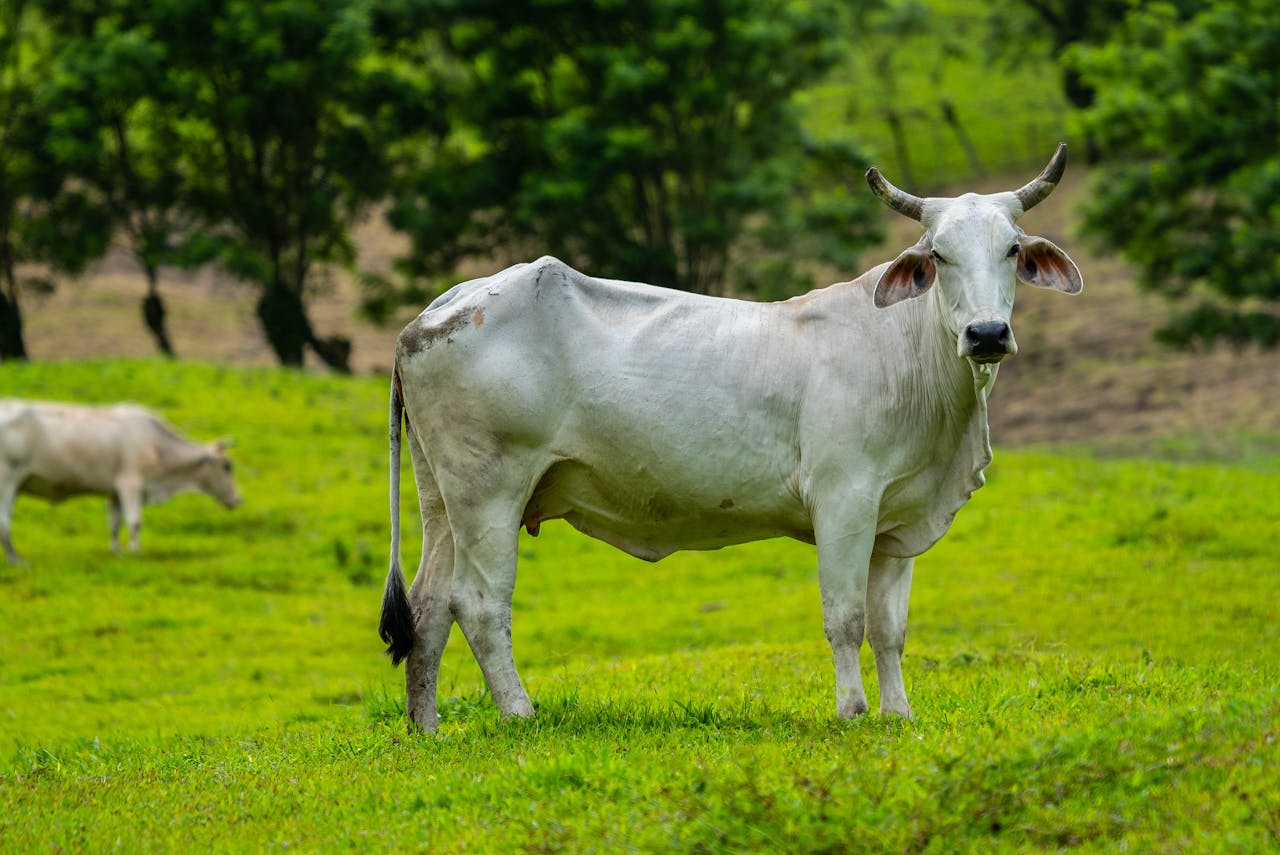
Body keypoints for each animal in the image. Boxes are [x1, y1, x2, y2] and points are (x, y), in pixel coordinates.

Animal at [0, 401, 241, 560]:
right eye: (227, 466)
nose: (239, 500)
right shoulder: (130, 485)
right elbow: (134, 521)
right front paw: (135, 551)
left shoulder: (114, 492)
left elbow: (115, 523)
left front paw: (116, 551)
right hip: (8, 480)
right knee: (4, 520)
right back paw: (16, 561)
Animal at [376, 142, 1080, 727]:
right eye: (938, 253)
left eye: (1012, 249)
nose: (986, 334)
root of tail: (437, 310)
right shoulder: (844, 500)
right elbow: (846, 617)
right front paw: (852, 712)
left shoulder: (897, 520)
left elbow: (890, 628)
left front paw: (897, 715)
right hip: (490, 492)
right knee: (479, 604)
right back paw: (520, 714)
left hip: (443, 499)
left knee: (429, 606)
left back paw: (426, 728)